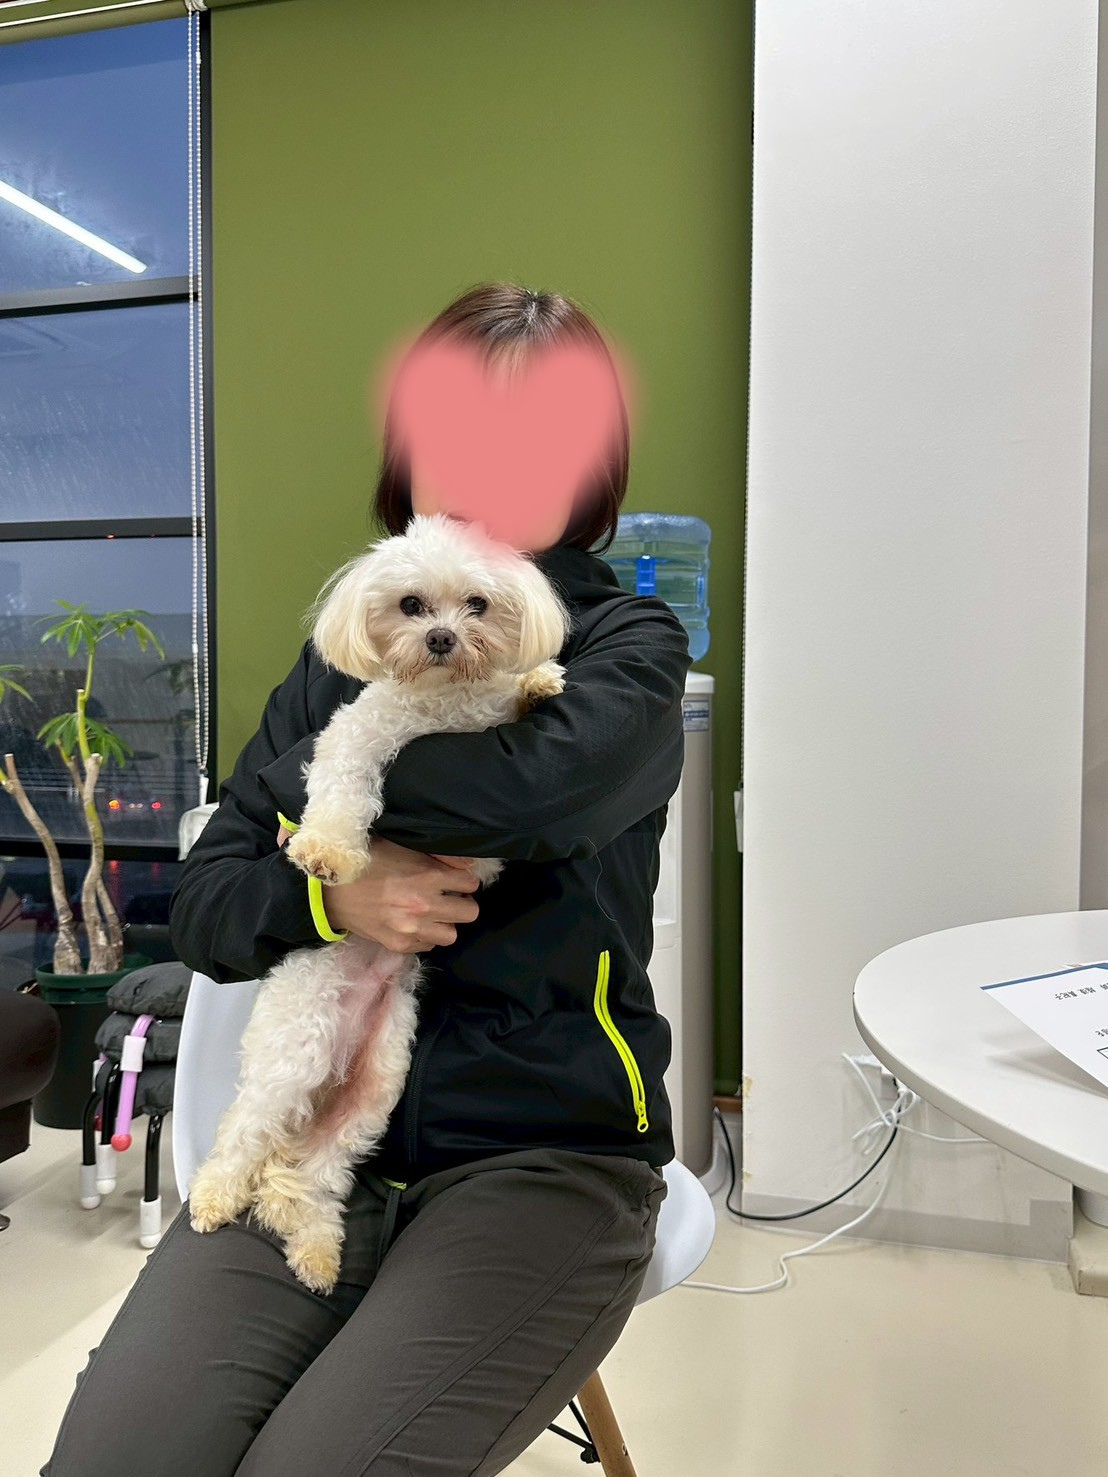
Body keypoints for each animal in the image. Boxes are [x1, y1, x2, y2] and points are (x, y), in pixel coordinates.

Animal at [187, 513, 570, 1293]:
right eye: (411, 605)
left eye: (477, 604)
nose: (443, 639)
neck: (444, 705)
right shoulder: (359, 736)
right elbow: (341, 792)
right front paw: (327, 851)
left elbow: (510, 693)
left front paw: (539, 678)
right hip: (293, 1052)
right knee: (243, 1131)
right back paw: (213, 1197)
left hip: (378, 1083)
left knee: (308, 1177)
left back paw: (316, 1251)